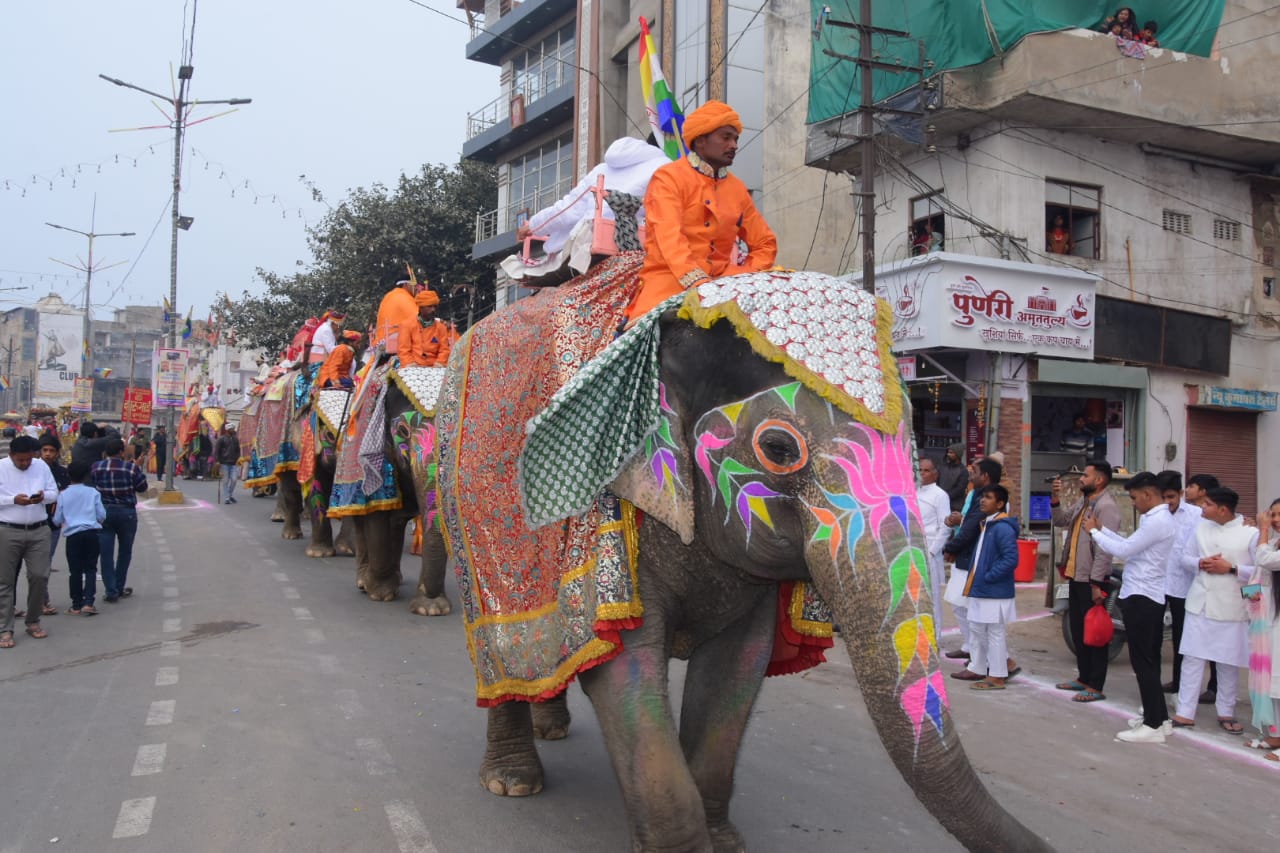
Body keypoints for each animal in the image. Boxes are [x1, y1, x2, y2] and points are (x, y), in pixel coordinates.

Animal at [440, 262, 1049, 845]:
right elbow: (624, 668)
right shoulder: (608, 520)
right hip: (464, 519)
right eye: (778, 448)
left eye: (916, 445)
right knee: (500, 644)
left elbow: (736, 672)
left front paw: (723, 840)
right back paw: (512, 780)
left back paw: (552, 726)